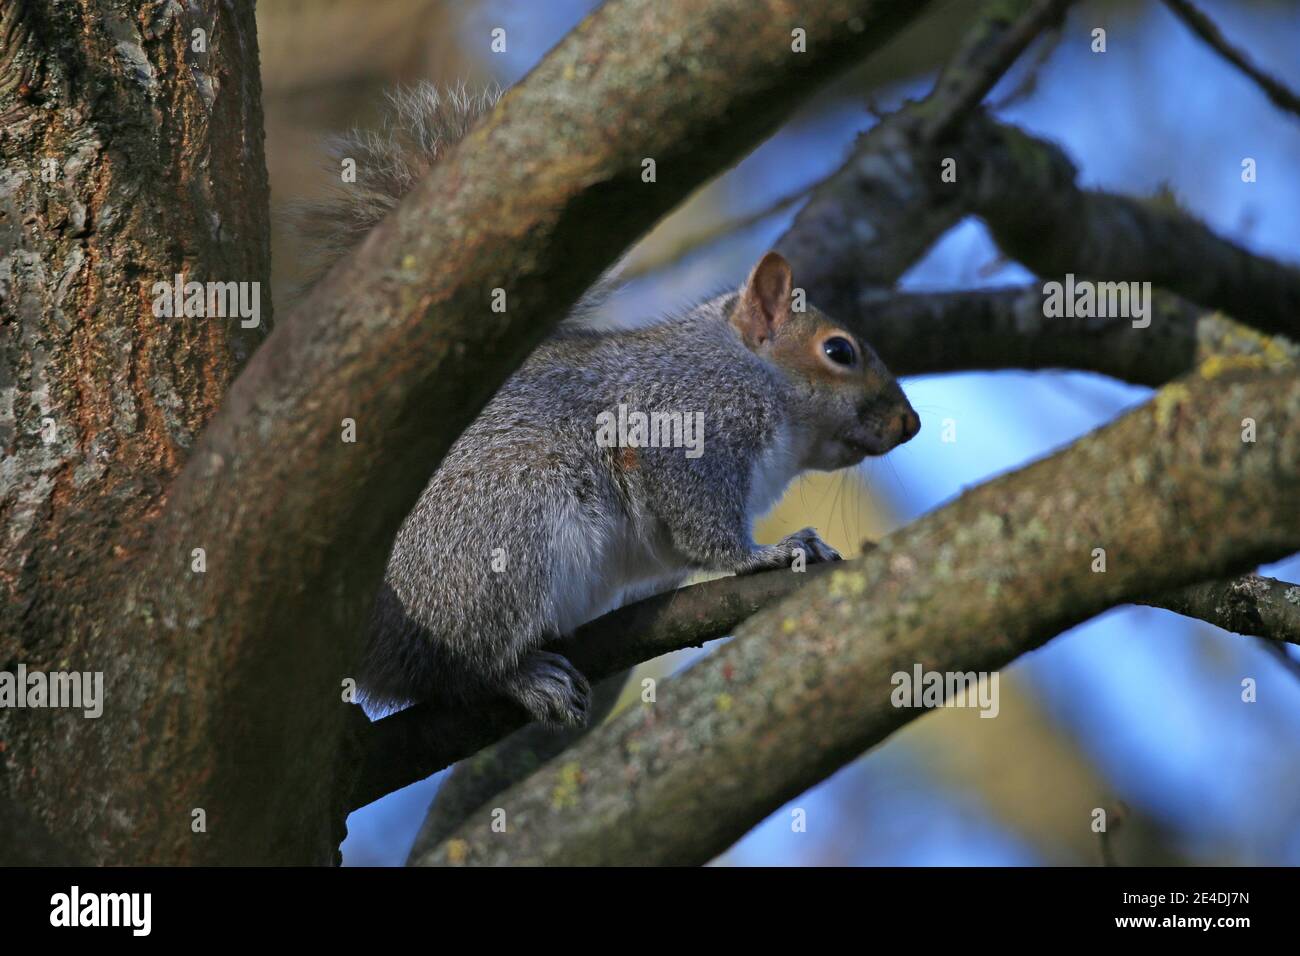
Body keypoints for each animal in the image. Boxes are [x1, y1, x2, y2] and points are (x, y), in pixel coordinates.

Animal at [299, 83, 920, 723]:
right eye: (839, 351)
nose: (911, 422)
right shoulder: (689, 425)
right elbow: (706, 528)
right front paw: (770, 553)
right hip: (500, 530)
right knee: (452, 666)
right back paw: (526, 677)